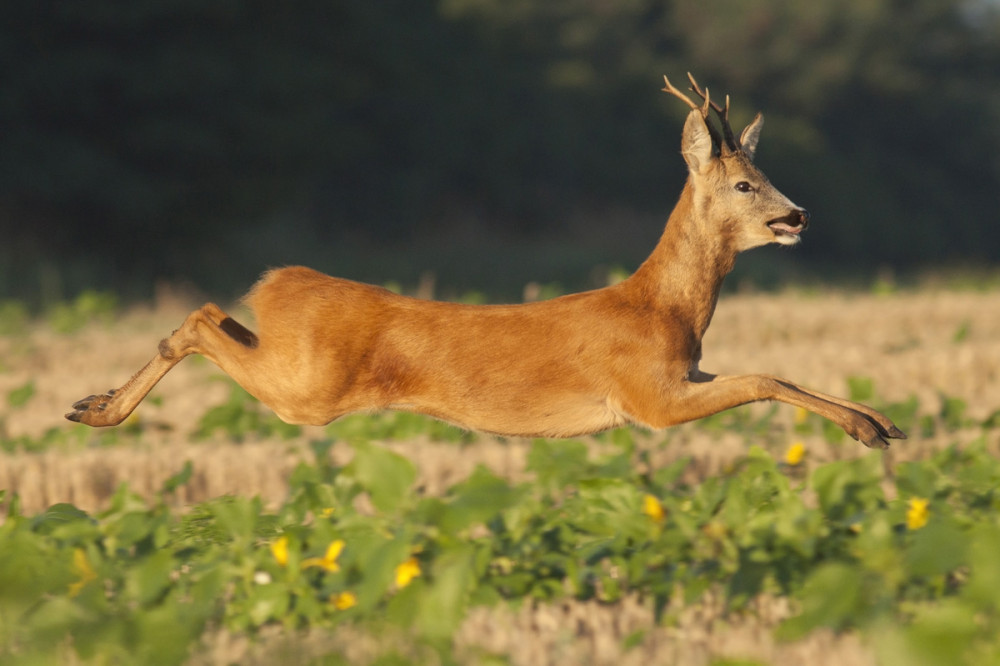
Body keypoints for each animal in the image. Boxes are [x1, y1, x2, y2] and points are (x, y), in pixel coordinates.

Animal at [62, 72, 908, 448]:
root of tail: (280, 281)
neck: (659, 307)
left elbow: (777, 371)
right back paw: (99, 409)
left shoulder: (683, 376)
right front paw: (867, 429)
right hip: (305, 391)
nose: (797, 216)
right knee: (203, 318)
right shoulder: (648, 398)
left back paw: (92, 402)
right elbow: (765, 378)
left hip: (294, 369)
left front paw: (878, 419)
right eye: (744, 183)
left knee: (211, 316)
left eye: (765, 174)